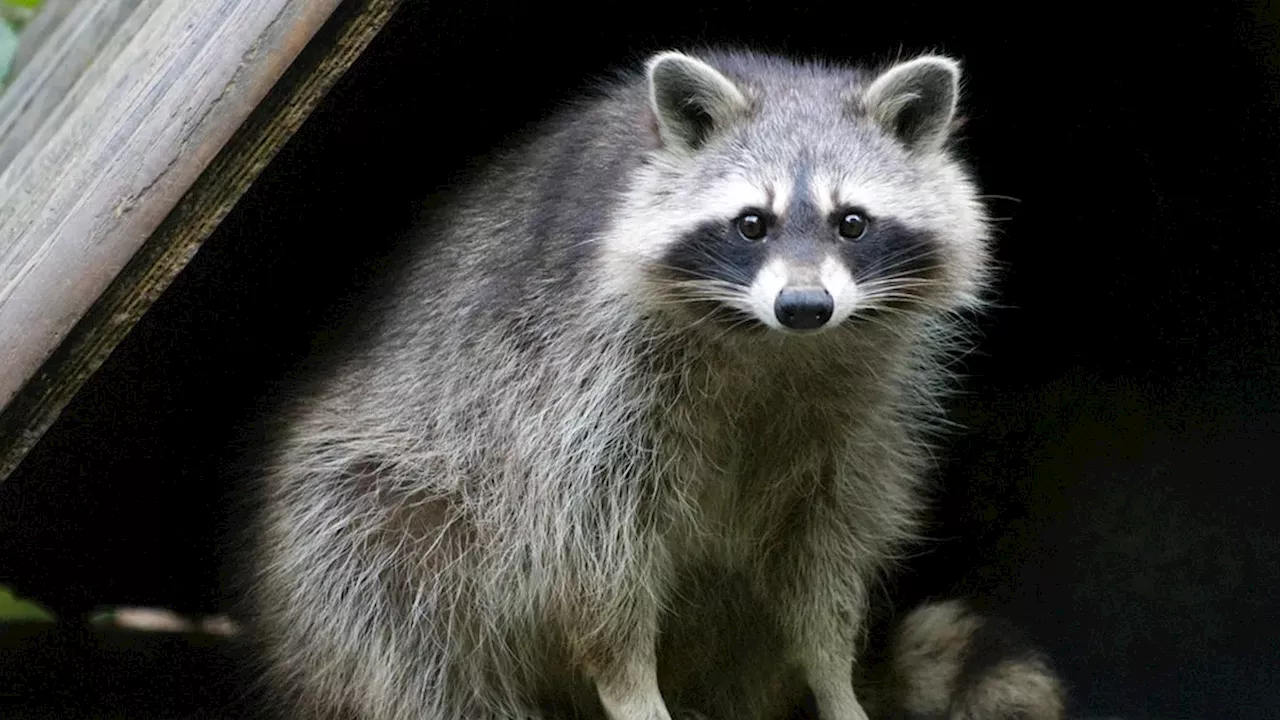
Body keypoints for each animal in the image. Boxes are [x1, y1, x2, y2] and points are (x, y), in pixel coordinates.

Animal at [233, 48, 1065, 720]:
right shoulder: (573, 385)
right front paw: (629, 685)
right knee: (387, 611)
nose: (804, 306)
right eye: (752, 224)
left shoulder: (862, 415)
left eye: (852, 222)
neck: (772, 346)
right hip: (371, 506)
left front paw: (832, 680)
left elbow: (824, 556)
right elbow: (593, 559)